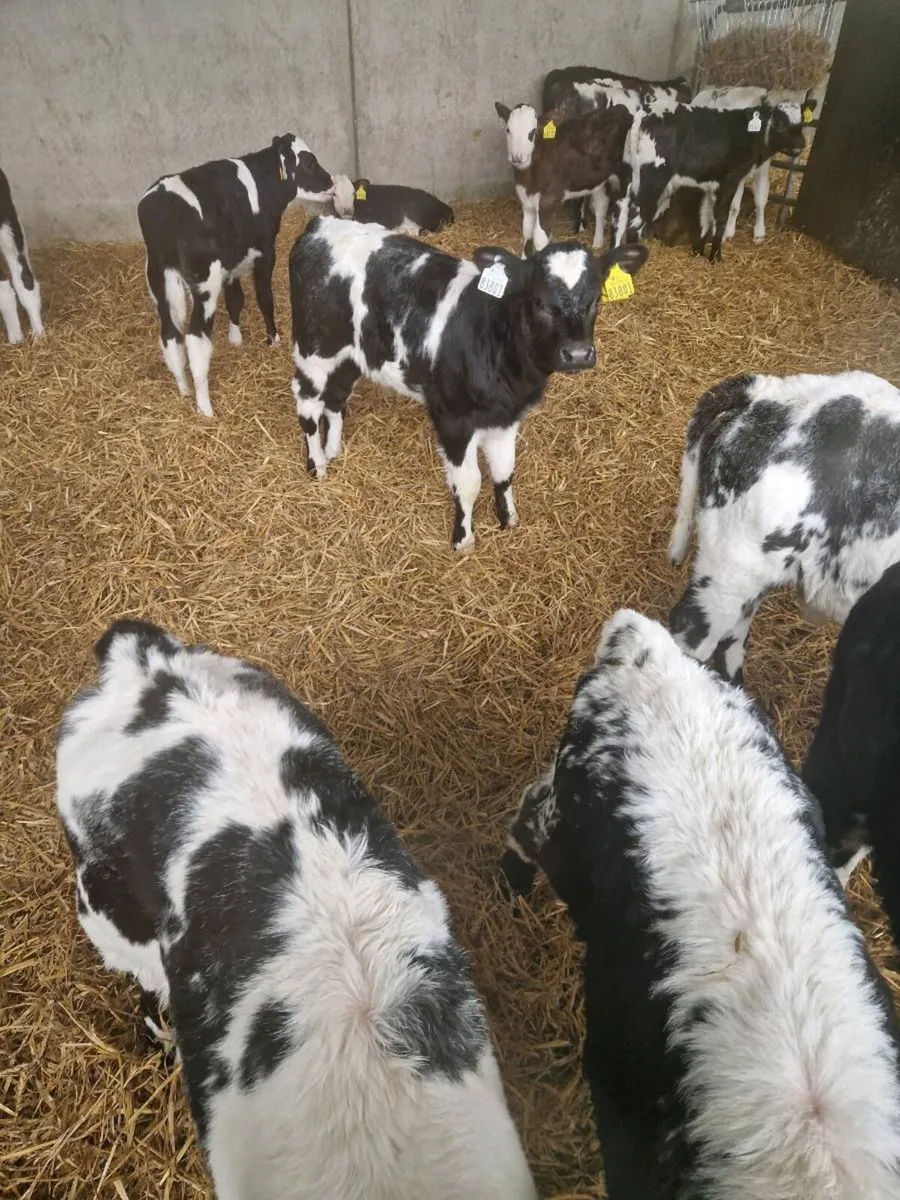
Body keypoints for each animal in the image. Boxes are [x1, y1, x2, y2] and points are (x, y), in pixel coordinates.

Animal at [138, 134, 334, 417]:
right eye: (309, 162)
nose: (331, 182)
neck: (262, 185)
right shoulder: (265, 253)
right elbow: (265, 298)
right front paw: (273, 339)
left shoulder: (231, 263)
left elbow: (235, 299)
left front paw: (235, 338)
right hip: (205, 282)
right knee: (195, 338)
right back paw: (205, 407)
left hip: (158, 281)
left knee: (170, 336)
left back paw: (184, 389)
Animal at [289, 215, 648, 549]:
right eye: (539, 301)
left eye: (595, 299)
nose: (577, 354)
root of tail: (320, 224)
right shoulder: (453, 419)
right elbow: (469, 482)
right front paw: (463, 539)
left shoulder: (506, 418)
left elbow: (504, 471)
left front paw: (508, 519)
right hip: (313, 351)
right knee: (308, 409)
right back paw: (317, 465)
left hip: (350, 356)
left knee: (336, 398)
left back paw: (333, 450)